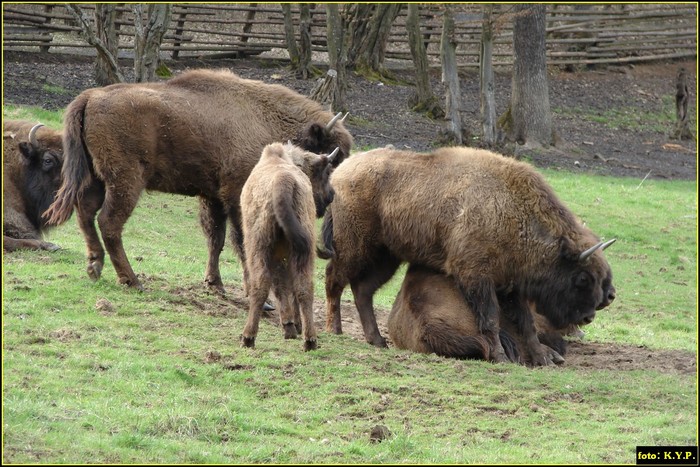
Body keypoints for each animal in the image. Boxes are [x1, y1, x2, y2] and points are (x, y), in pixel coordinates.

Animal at [43, 68, 352, 292]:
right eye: (328, 162)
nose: (329, 197)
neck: (267, 120)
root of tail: (90, 96)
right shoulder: (236, 196)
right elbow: (241, 242)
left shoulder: (212, 197)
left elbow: (216, 239)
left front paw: (215, 284)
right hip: (125, 181)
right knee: (109, 222)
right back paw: (132, 281)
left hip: (95, 177)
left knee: (85, 213)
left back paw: (95, 268)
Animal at [241, 143, 340, 352]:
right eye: (326, 173)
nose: (331, 196)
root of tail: (283, 180)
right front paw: (292, 326)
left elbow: (280, 287)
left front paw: (289, 325)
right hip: (304, 249)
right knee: (304, 288)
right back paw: (310, 340)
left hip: (258, 246)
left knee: (261, 285)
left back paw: (248, 338)